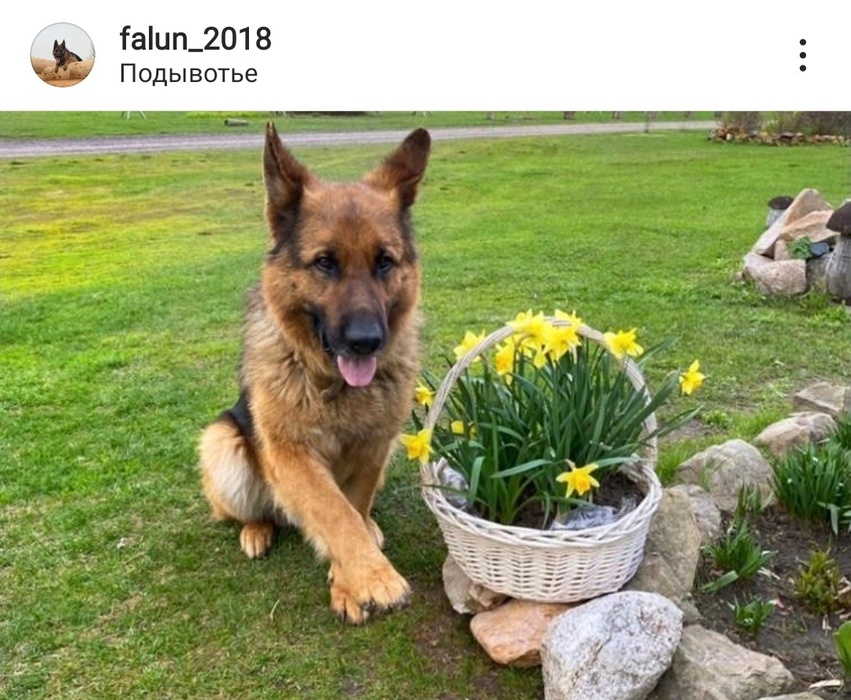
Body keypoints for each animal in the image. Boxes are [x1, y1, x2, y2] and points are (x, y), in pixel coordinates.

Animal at [199, 123, 430, 624]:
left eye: (384, 261)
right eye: (325, 262)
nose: (366, 341)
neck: (335, 385)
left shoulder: (374, 448)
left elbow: (352, 509)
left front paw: (349, 583)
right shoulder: (292, 455)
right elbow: (334, 512)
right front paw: (374, 579)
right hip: (223, 445)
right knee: (256, 509)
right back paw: (256, 529)